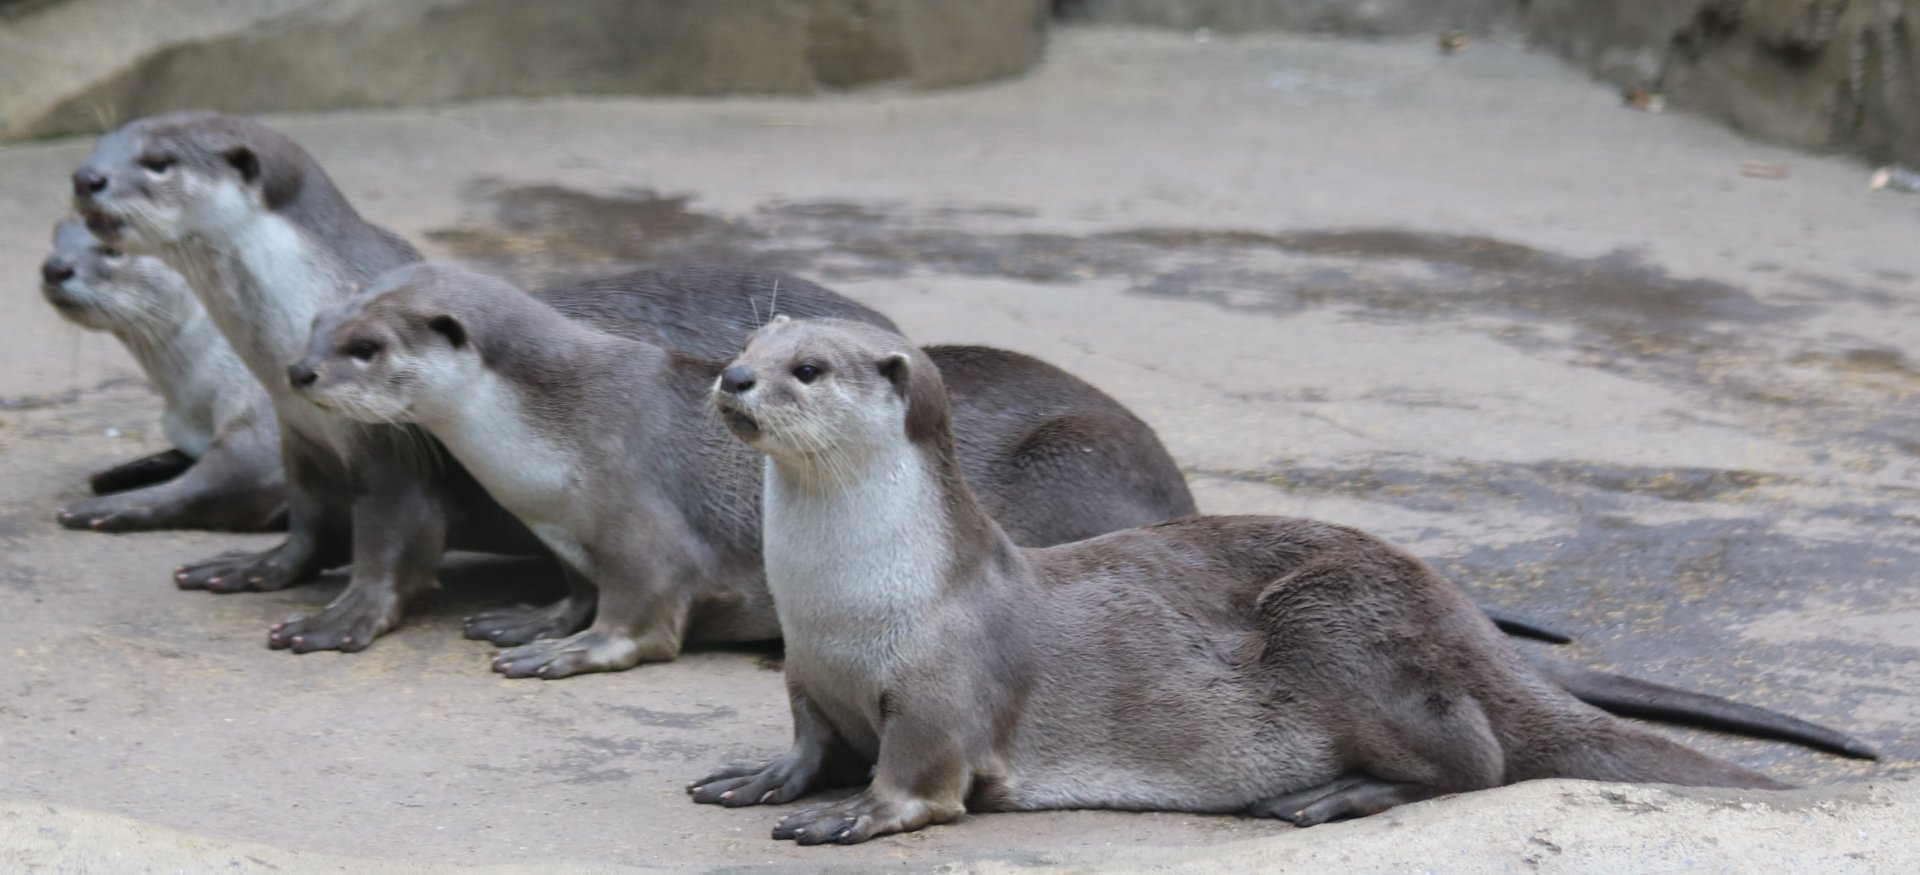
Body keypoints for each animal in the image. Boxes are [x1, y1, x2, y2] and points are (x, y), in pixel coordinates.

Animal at [37, 218, 284, 532]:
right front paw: (121, 473)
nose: (54, 268)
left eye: (113, 250)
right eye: (56, 239)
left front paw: (103, 509)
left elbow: (222, 483)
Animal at [689, 318, 1874, 843]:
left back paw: (1325, 796)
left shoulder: (944, 687)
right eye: (750, 343)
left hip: (1336, 618)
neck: (853, 602)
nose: (735, 377)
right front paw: (761, 779)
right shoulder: (807, 674)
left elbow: (921, 777)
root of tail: (1460, 615)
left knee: (1481, 759)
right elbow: (807, 740)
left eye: (809, 368)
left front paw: (857, 814)